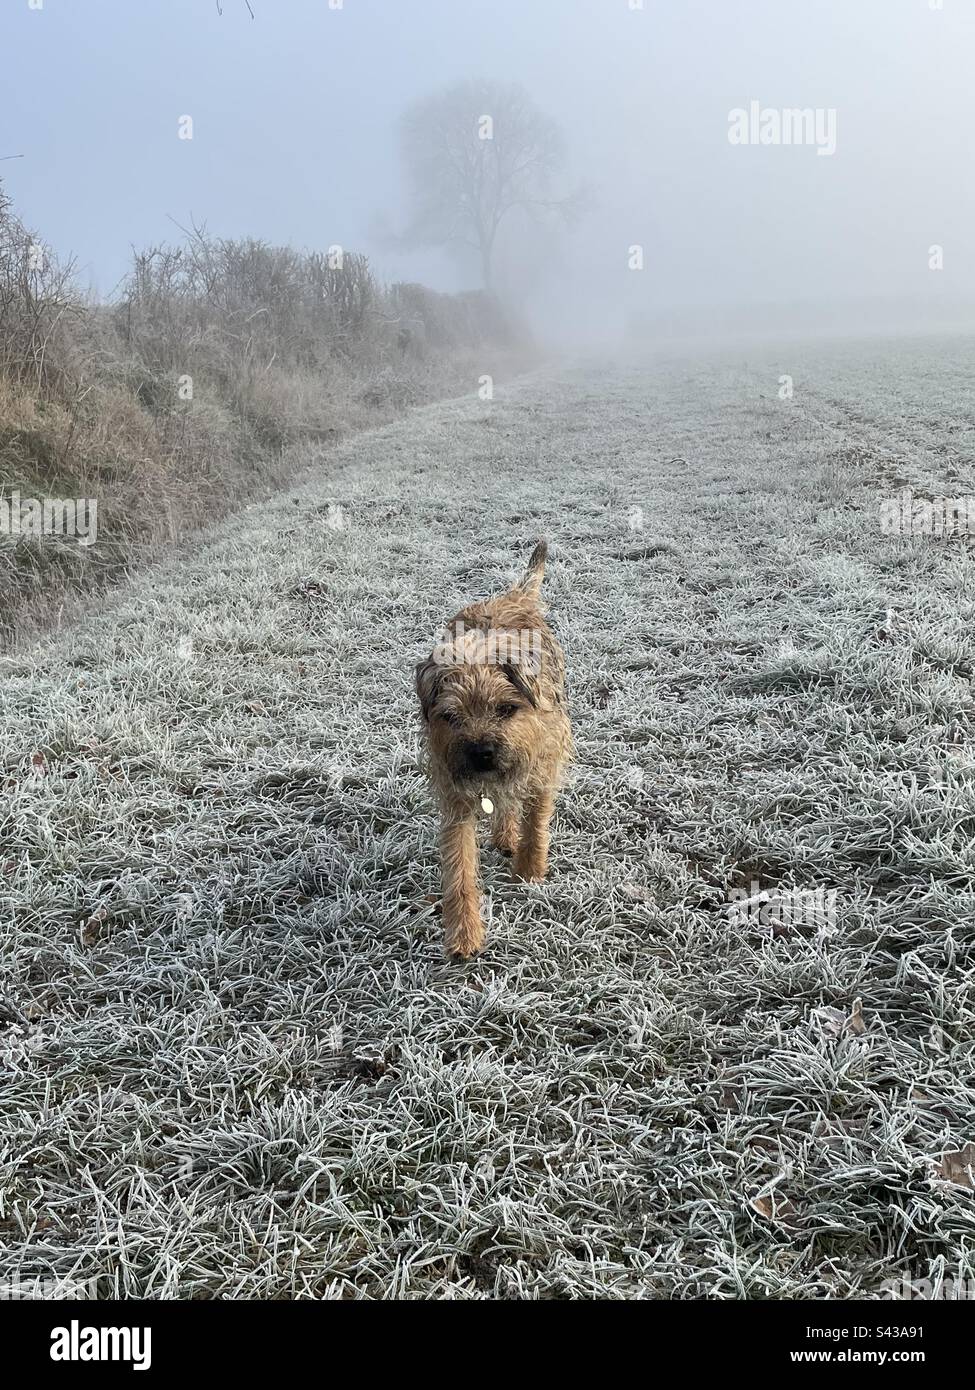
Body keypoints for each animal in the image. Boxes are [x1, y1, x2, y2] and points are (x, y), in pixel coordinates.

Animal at [411, 539, 570, 956]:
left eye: (506, 709)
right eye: (451, 716)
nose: (482, 754)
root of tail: (513, 595)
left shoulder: (543, 764)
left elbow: (536, 822)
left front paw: (530, 871)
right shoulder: (455, 795)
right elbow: (459, 864)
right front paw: (464, 932)